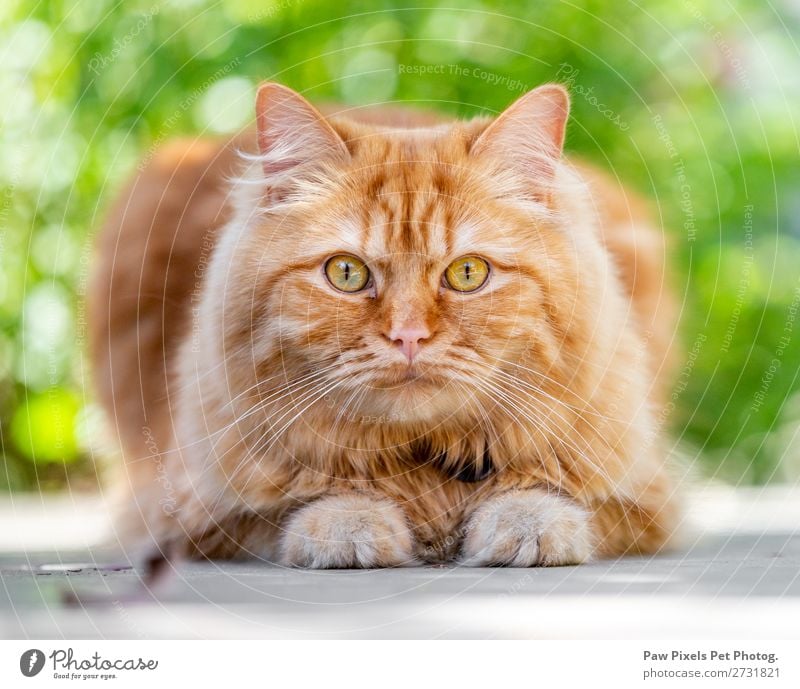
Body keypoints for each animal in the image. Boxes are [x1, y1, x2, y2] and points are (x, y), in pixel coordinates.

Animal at [94, 82, 680, 564]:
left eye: (468, 273)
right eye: (347, 273)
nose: (408, 336)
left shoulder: (645, 493)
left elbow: (548, 497)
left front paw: (525, 523)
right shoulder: (185, 506)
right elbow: (303, 504)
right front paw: (351, 524)